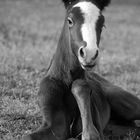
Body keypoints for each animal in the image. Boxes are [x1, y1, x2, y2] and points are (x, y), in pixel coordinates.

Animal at [22, 0, 140, 140]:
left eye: (102, 24)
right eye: (69, 20)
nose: (89, 54)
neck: (66, 81)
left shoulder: (97, 128)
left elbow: (90, 133)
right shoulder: (53, 123)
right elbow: (28, 137)